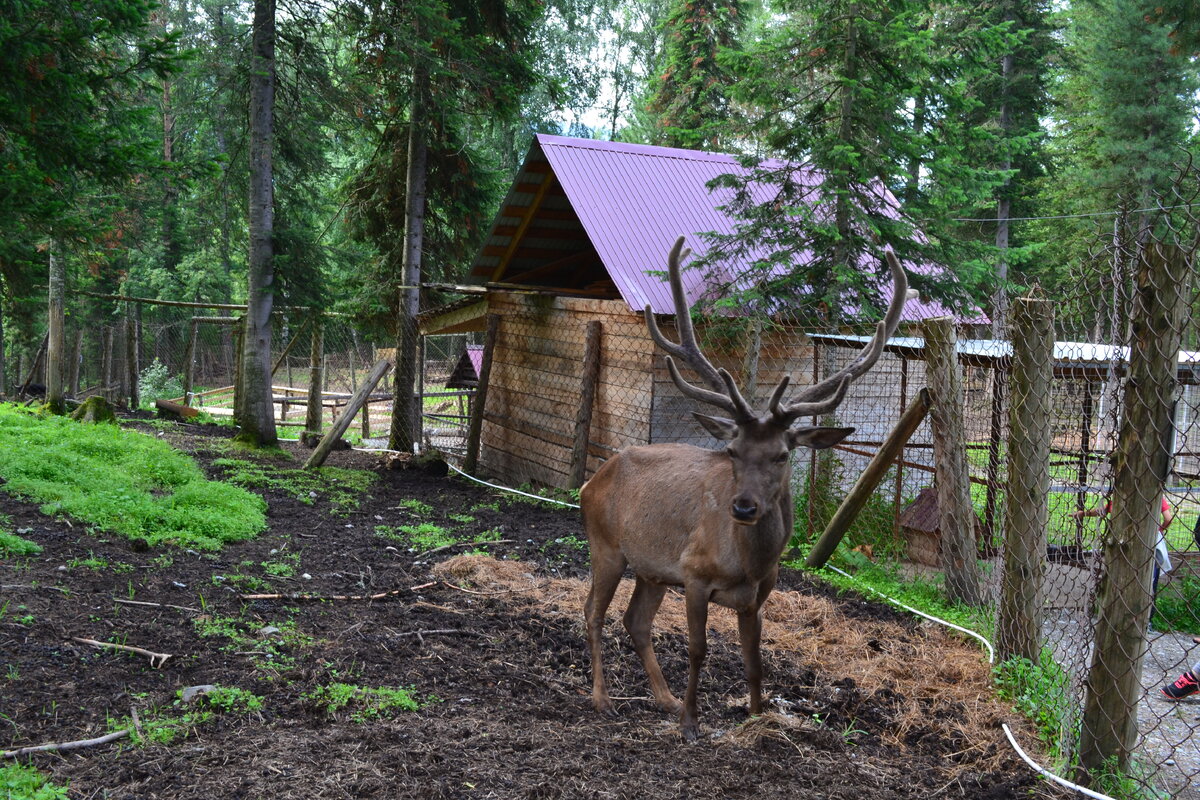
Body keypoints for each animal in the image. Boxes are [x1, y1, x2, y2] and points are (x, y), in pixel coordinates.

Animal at [580, 235, 907, 743]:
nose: (744, 508)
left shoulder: (759, 594)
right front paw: (691, 723)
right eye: (732, 450)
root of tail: (590, 480)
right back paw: (603, 699)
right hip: (606, 545)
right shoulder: (694, 574)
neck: (749, 563)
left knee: (636, 621)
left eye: (783, 454)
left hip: (652, 569)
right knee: (593, 613)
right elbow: (698, 650)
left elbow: (755, 660)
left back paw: (663, 698)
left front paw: (756, 715)